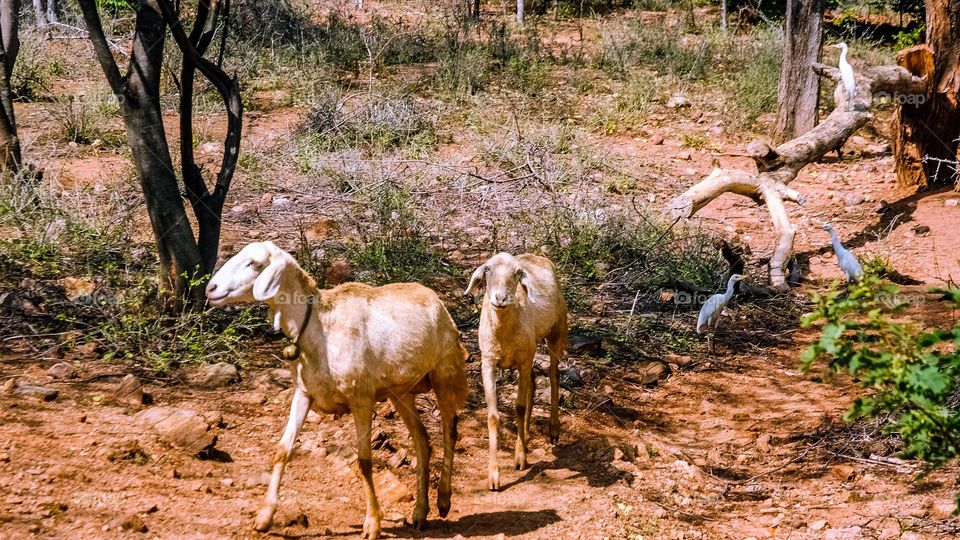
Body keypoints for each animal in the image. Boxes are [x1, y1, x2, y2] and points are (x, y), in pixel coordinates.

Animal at [206, 241, 468, 539]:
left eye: (254, 264)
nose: (211, 288)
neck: (319, 327)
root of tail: (432, 295)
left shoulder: (361, 397)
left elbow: (364, 461)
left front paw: (372, 523)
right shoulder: (303, 393)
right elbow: (283, 449)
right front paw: (264, 516)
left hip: (445, 372)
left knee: (450, 430)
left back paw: (444, 500)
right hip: (400, 392)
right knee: (422, 440)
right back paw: (420, 513)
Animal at [464, 252, 568, 491]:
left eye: (517, 273)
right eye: (488, 270)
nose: (500, 298)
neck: (503, 333)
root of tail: (538, 257)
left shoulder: (523, 360)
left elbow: (519, 408)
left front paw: (519, 458)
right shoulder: (488, 363)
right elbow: (493, 416)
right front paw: (493, 476)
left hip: (556, 333)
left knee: (554, 375)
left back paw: (553, 430)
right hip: (530, 351)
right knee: (533, 381)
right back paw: (527, 436)